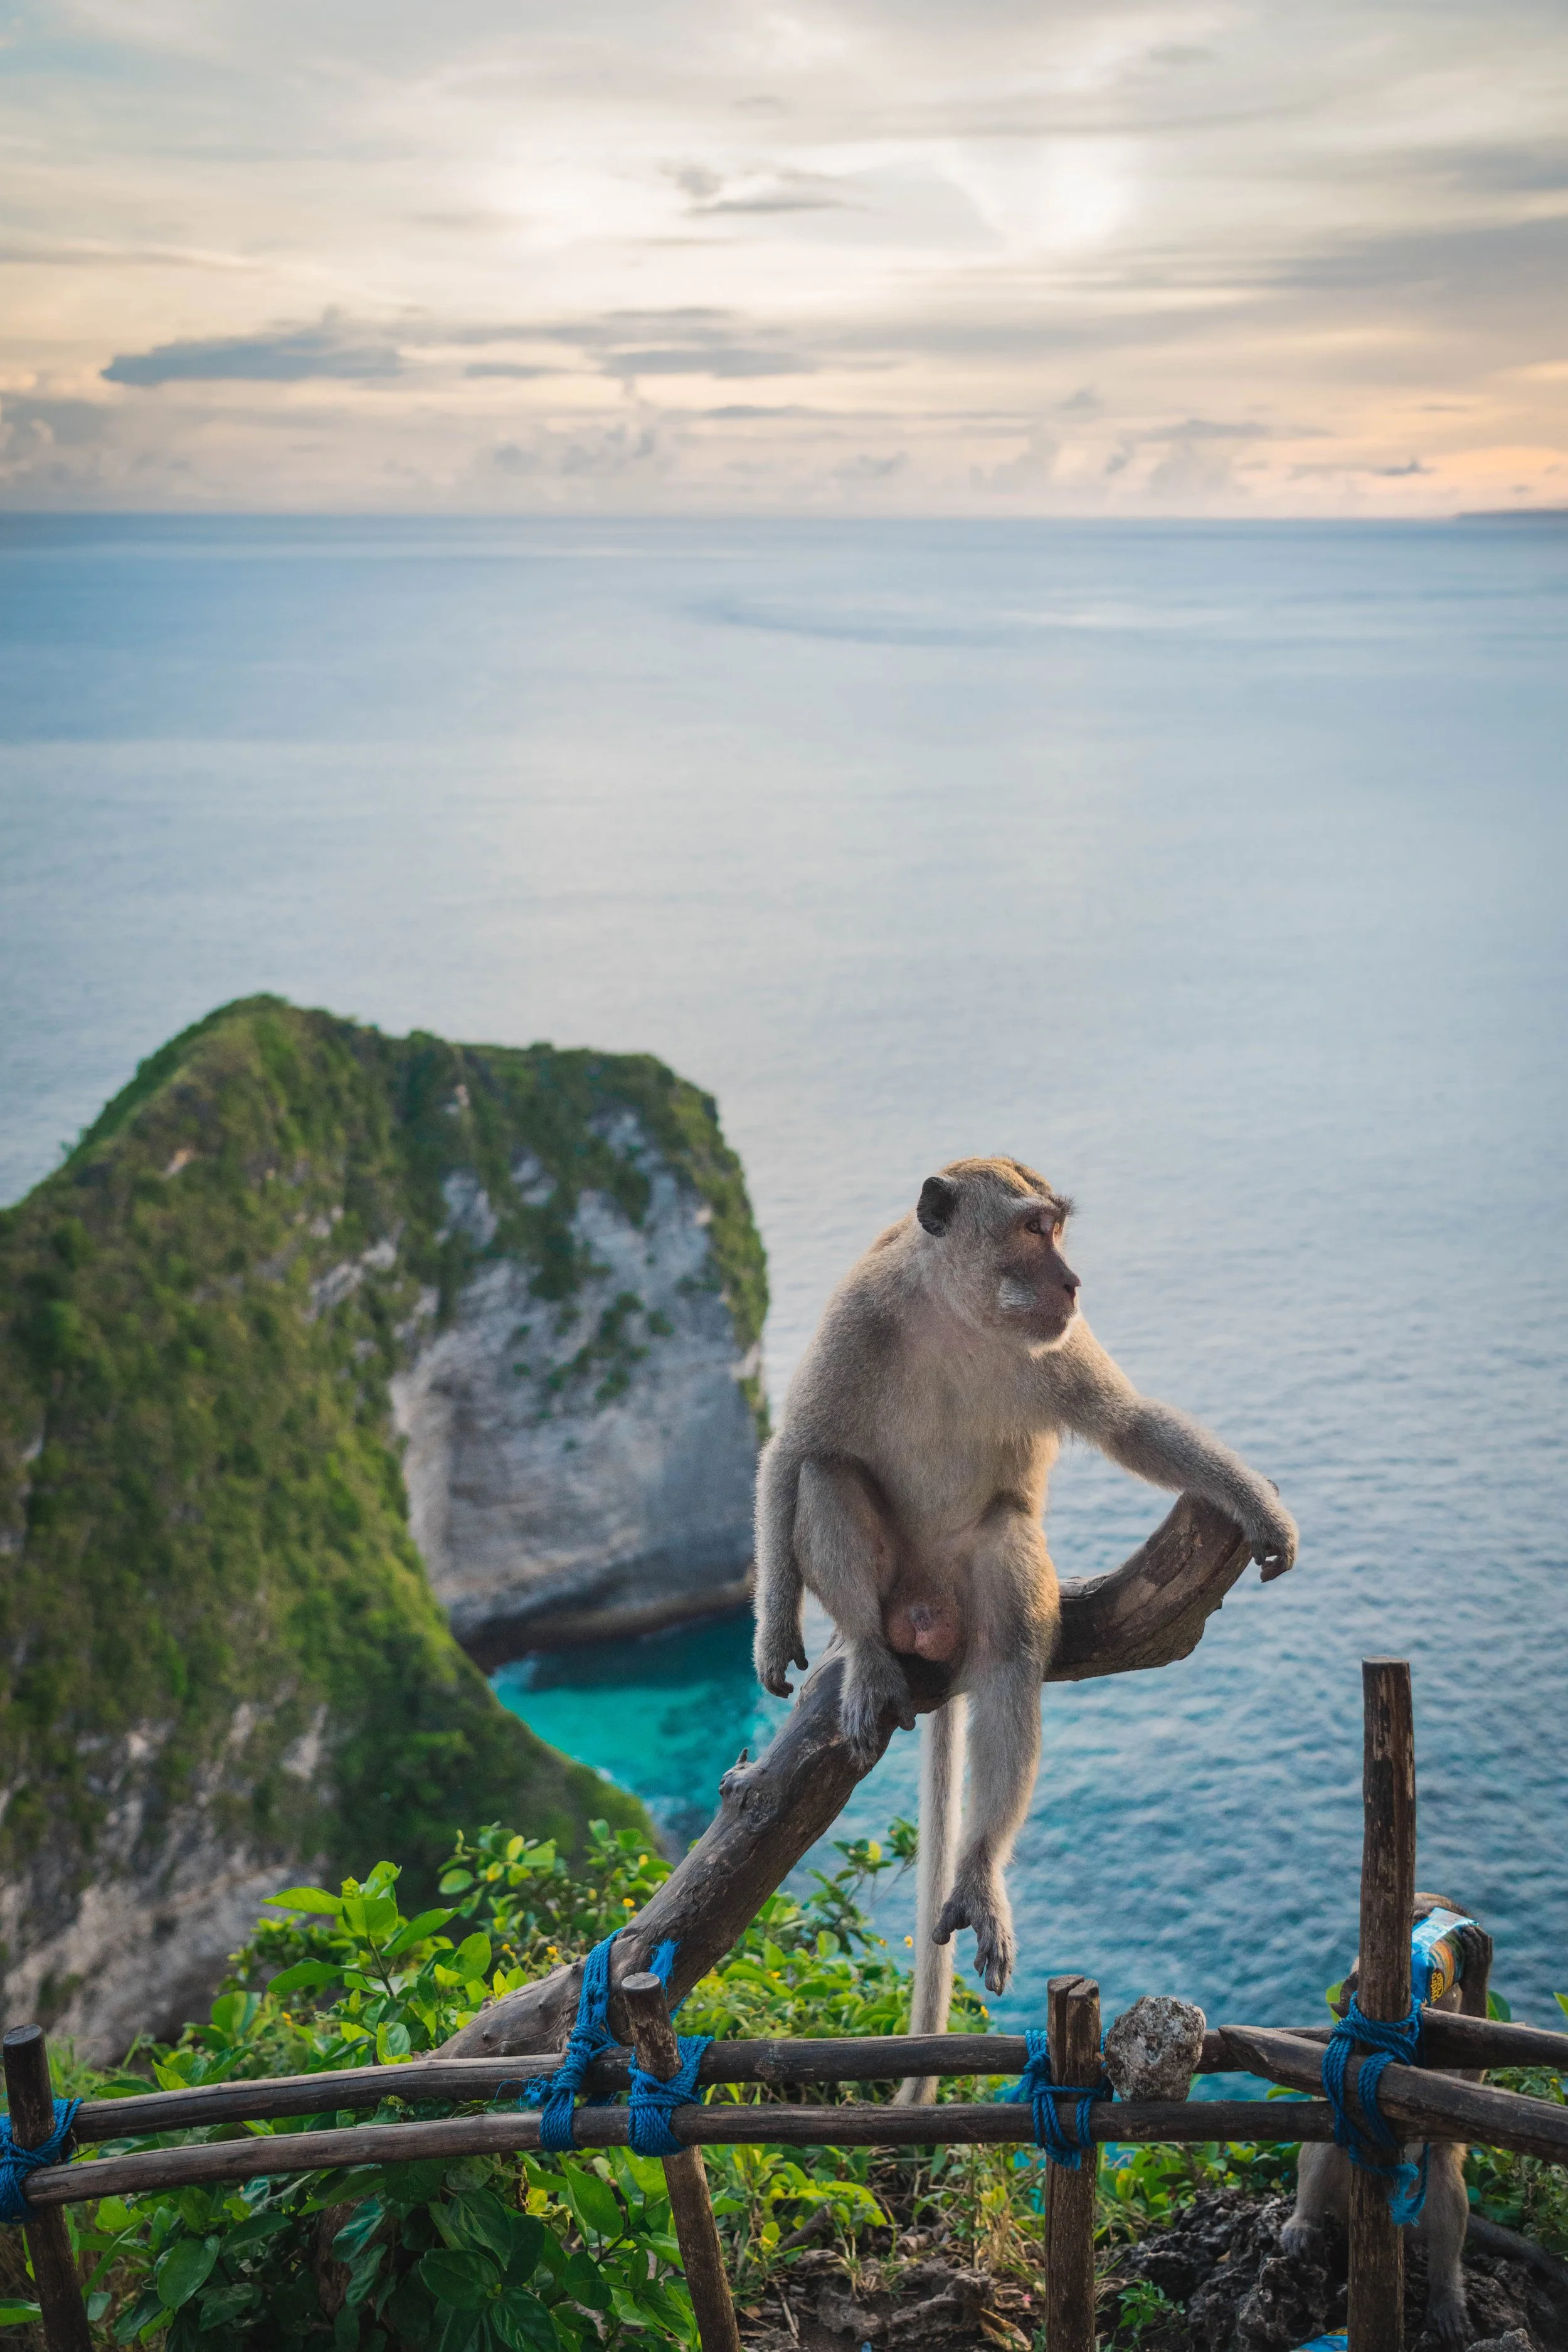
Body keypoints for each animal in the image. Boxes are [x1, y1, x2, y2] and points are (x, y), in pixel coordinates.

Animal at [752, 1156, 1297, 2085]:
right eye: (1035, 1229)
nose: (1073, 1281)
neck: (953, 1313)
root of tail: (926, 1623)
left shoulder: (1059, 1341)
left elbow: (1128, 1426)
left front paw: (1256, 1501)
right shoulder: (855, 1316)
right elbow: (794, 1448)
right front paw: (774, 1632)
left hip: (974, 1582)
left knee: (1008, 1633)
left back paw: (977, 1874)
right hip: (898, 1594)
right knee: (827, 1472)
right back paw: (866, 1656)